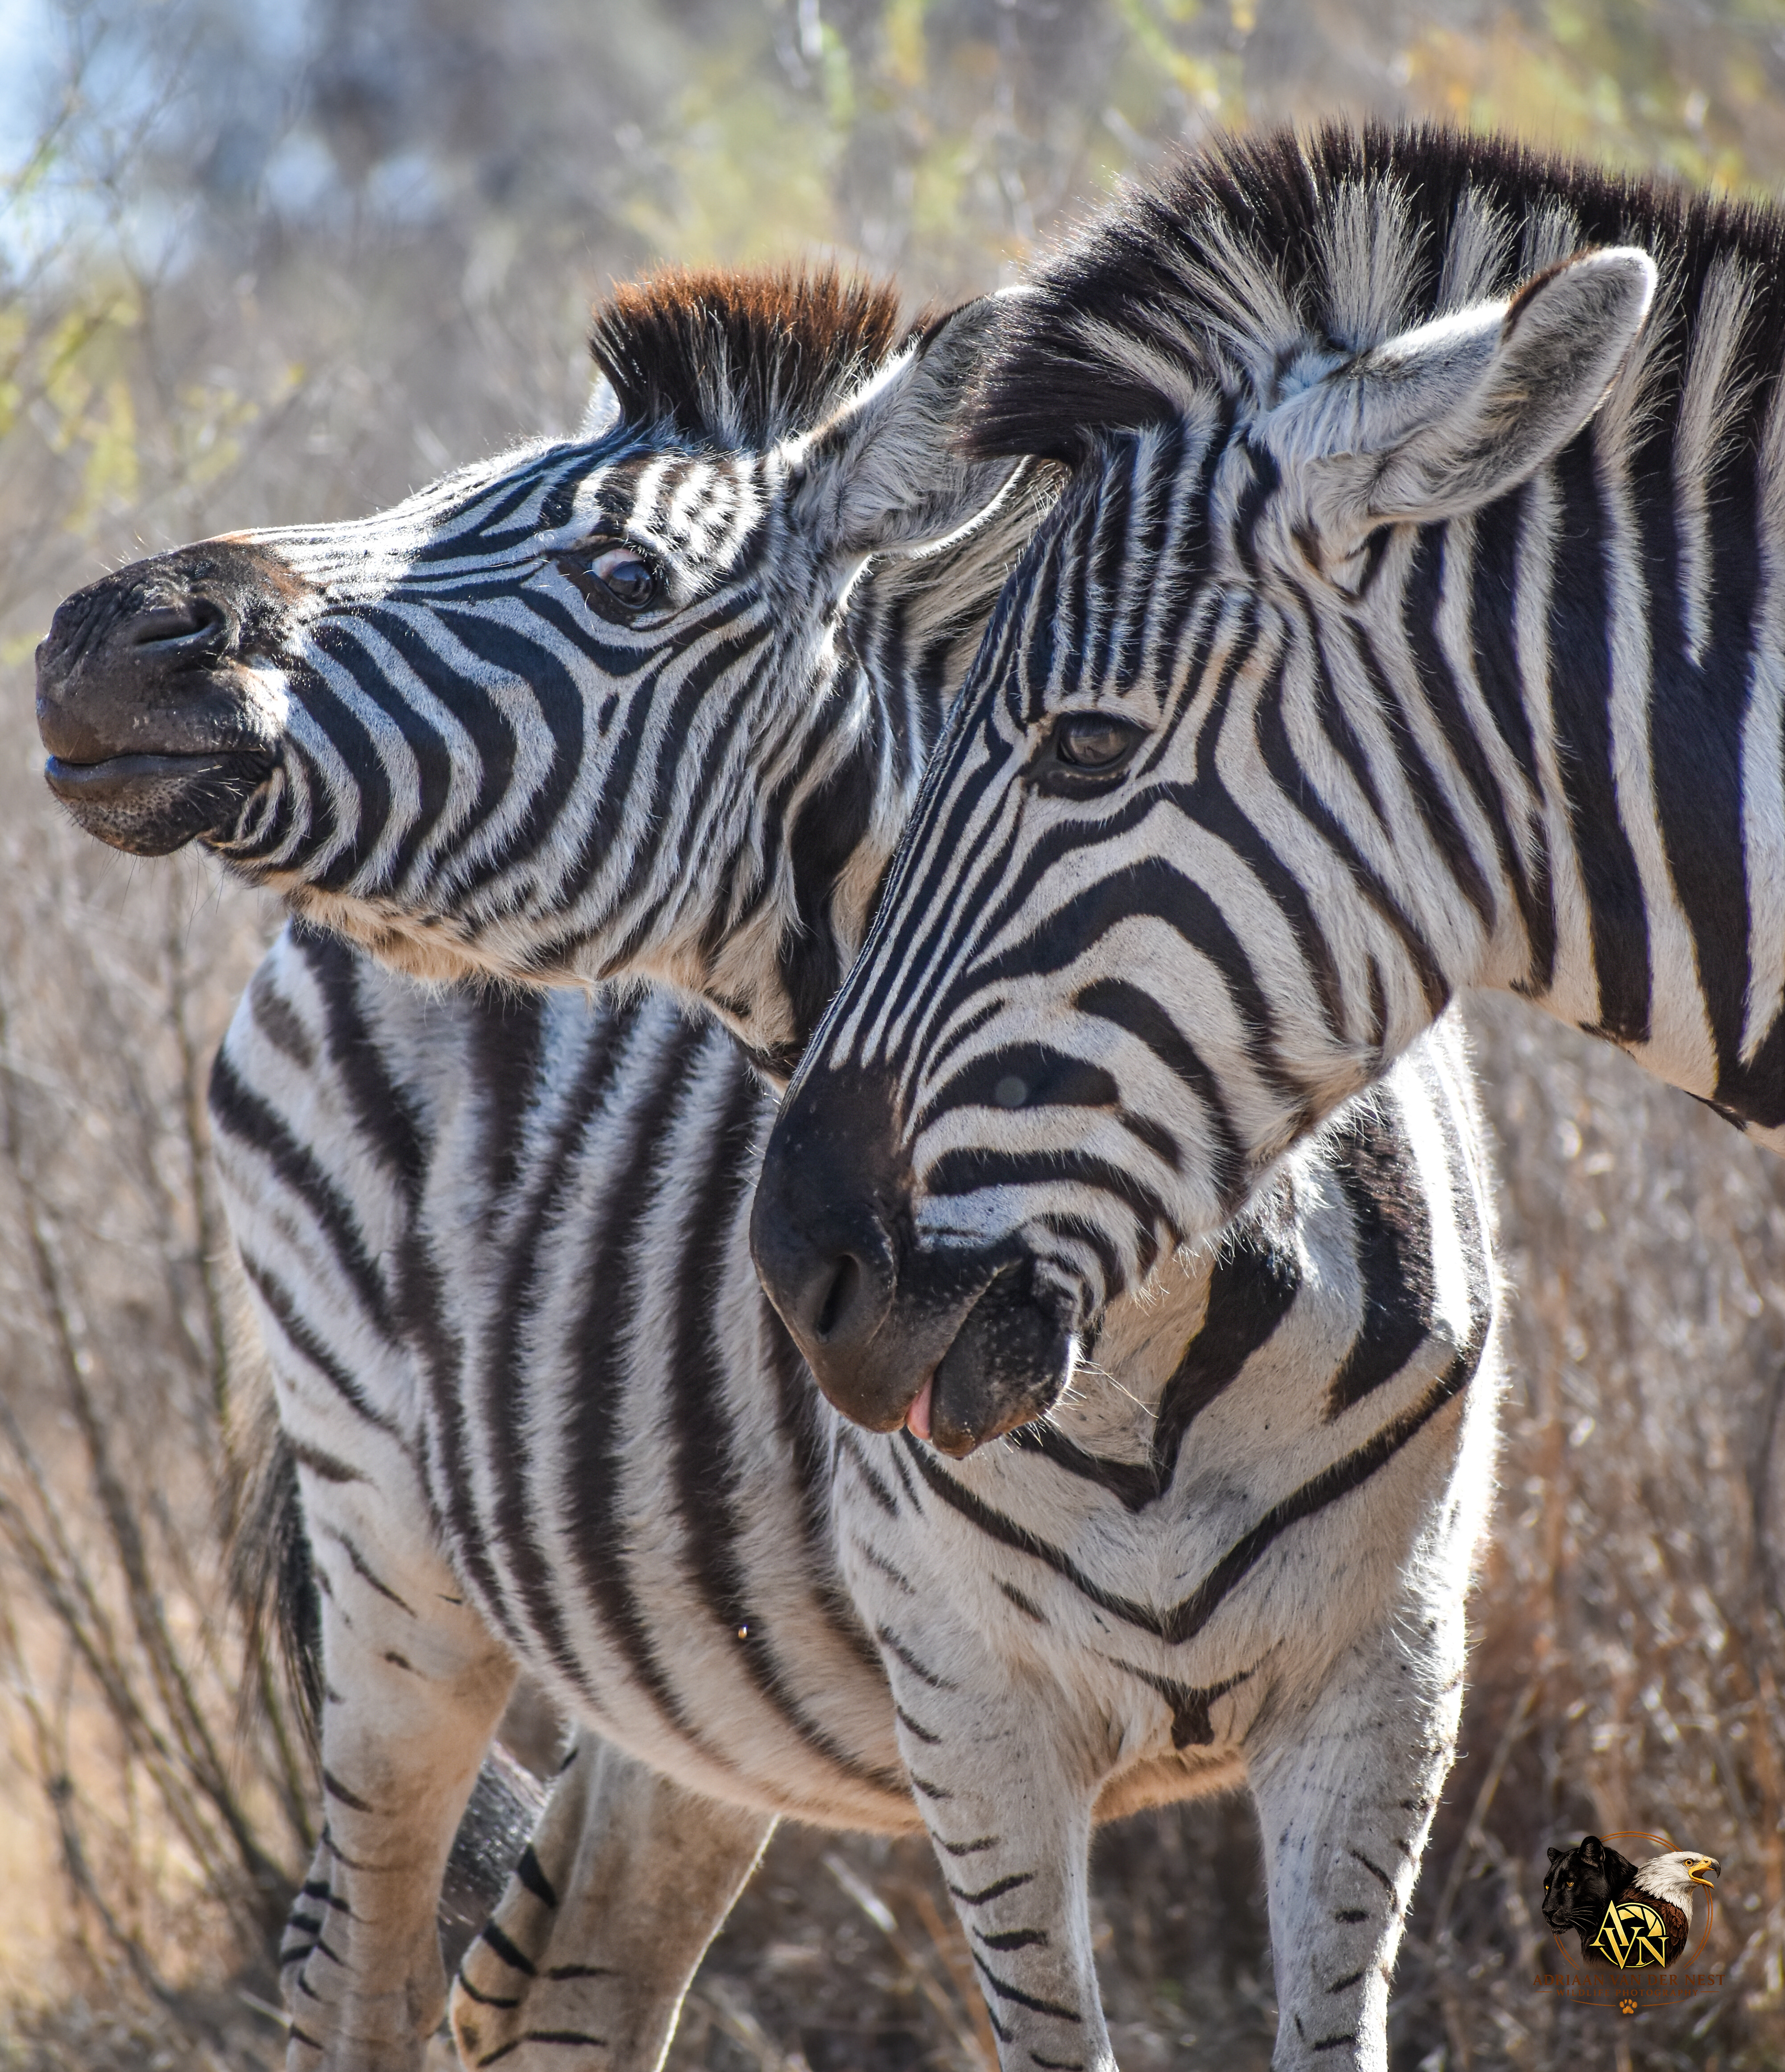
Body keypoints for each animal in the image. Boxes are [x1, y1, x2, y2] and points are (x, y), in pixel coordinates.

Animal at [38, 266, 1503, 2072]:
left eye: (622, 578)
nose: (102, 630)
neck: (1148, 1330)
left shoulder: (1388, 1690)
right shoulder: (973, 1715)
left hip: (678, 1679)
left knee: (564, 1978)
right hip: (386, 1554)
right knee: (350, 1969)